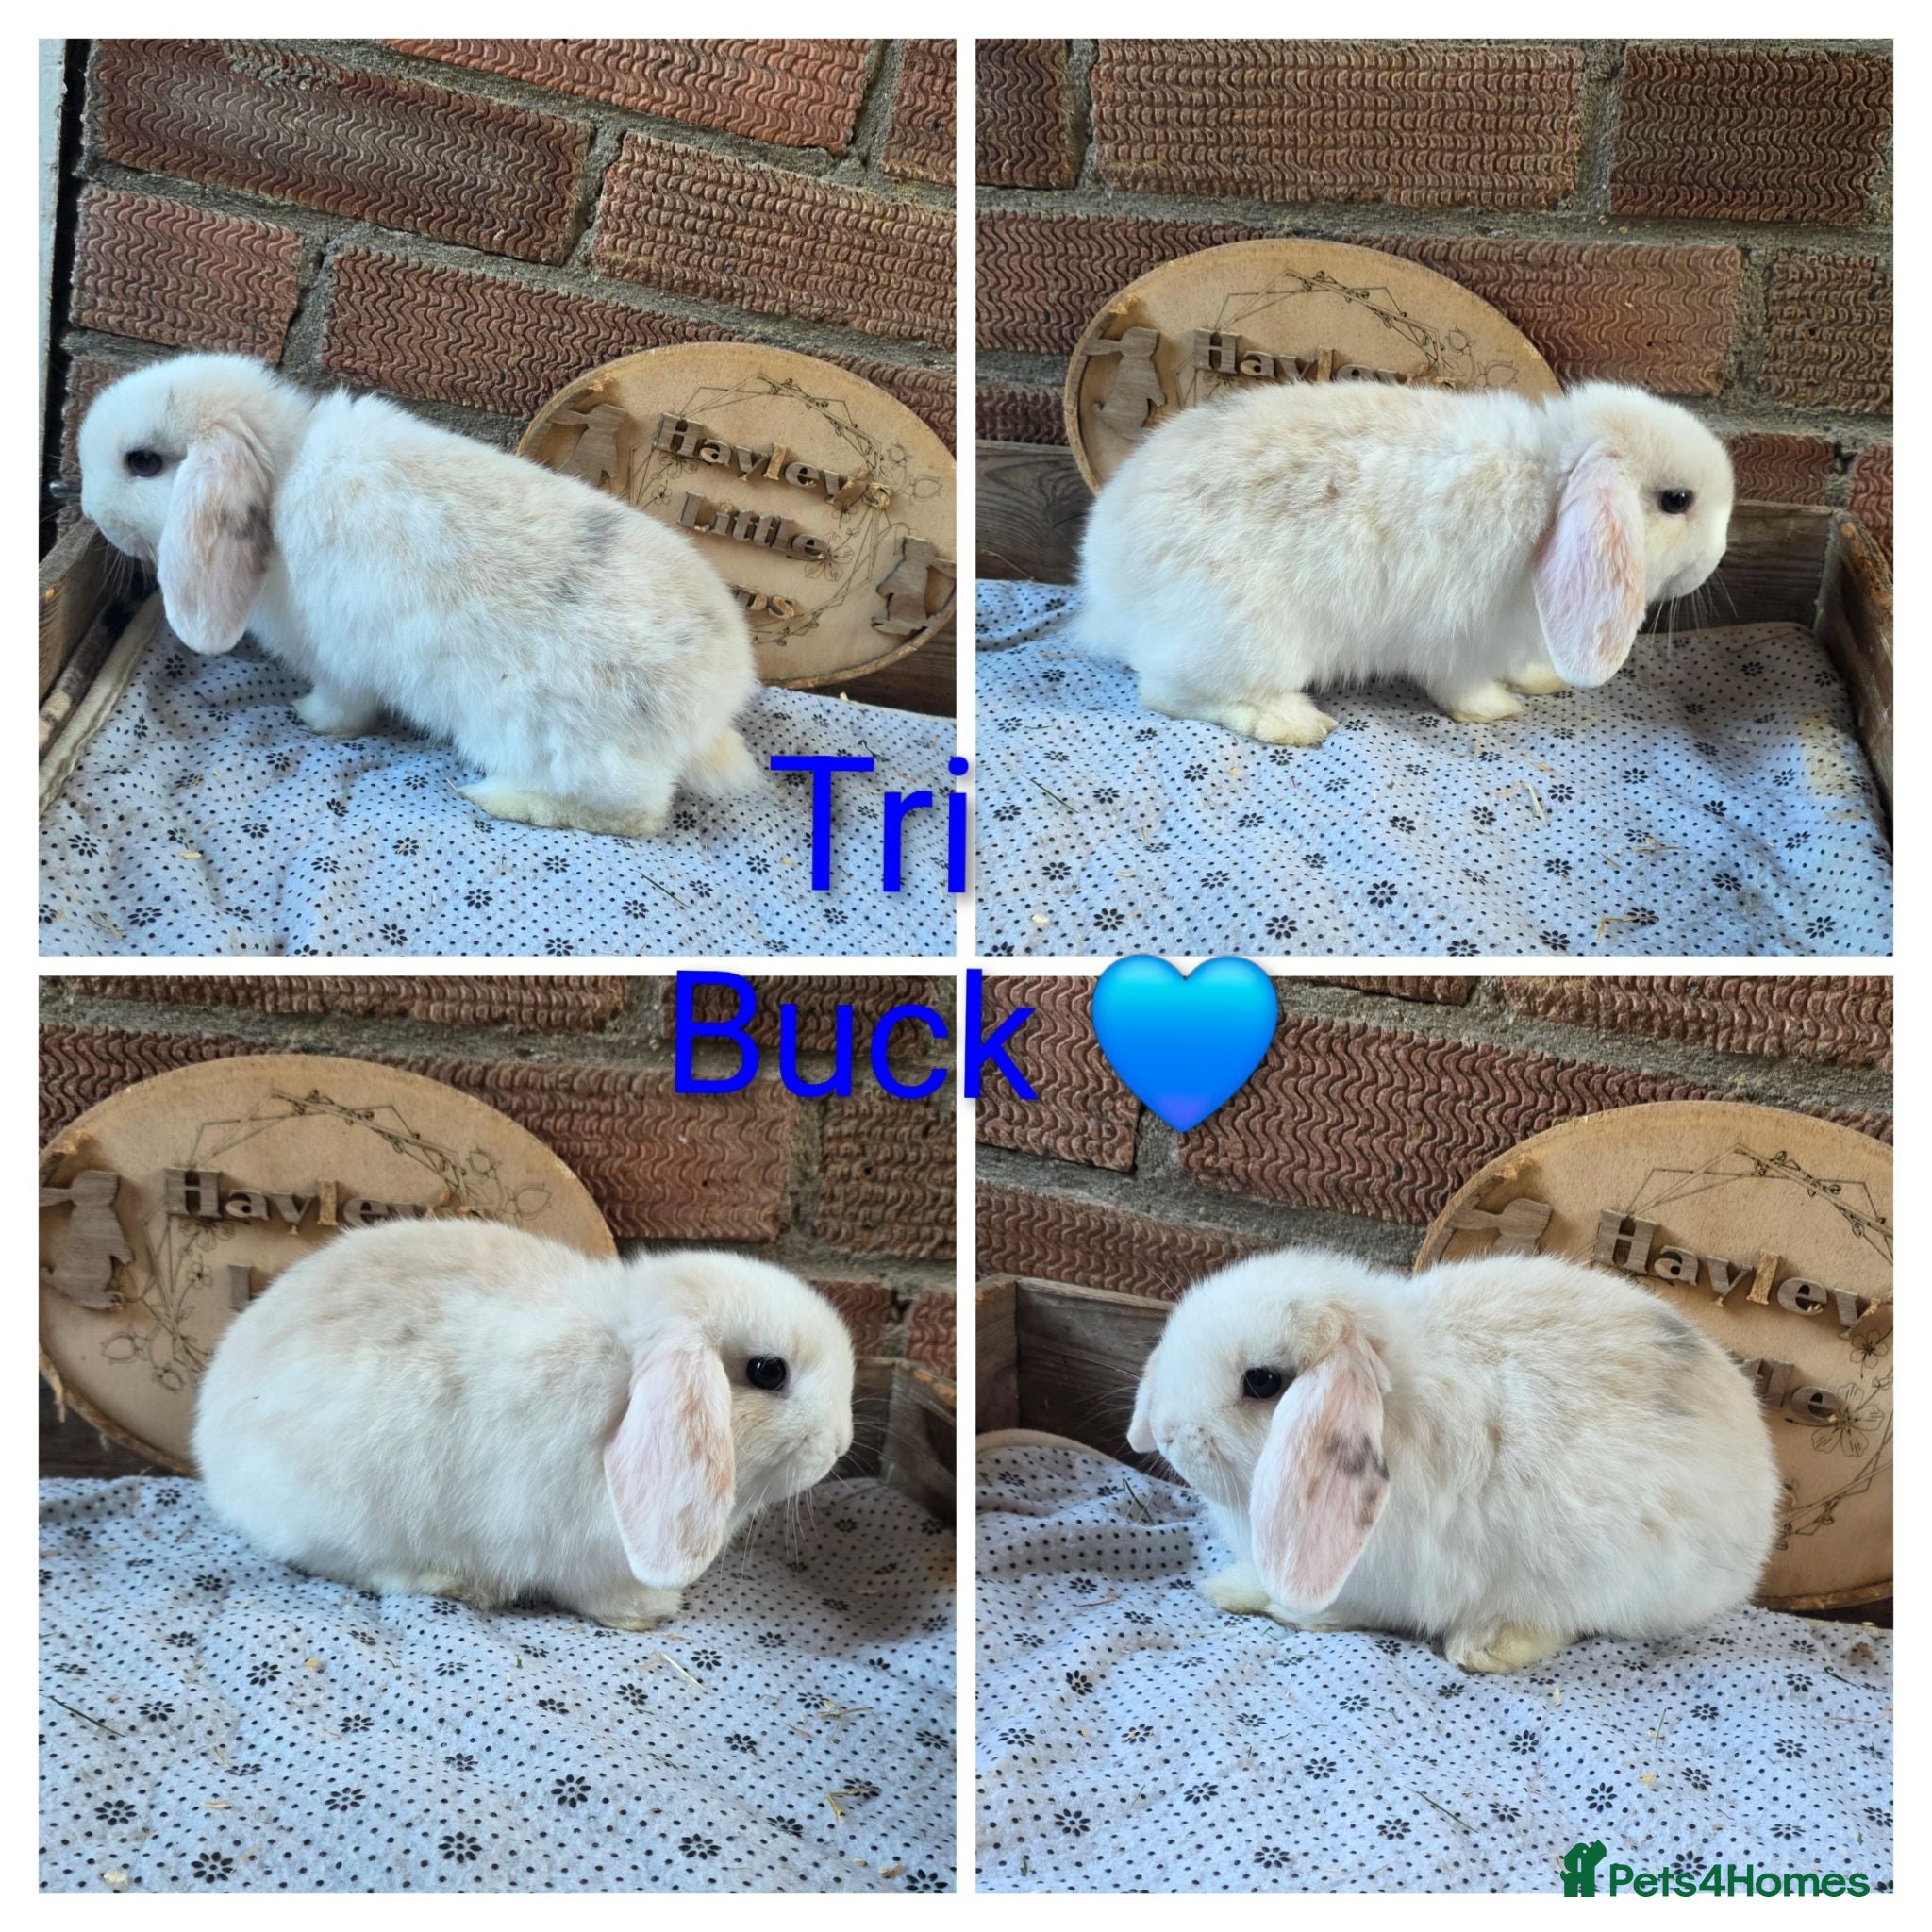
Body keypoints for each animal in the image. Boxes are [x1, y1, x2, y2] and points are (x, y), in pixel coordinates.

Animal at [78, 353, 761, 837]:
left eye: (143, 462)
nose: (88, 512)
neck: (281, 474)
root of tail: (717, 702)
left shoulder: (340, 659)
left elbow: (343, 707)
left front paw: (310, 718)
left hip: (555, 742)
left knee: (634, 814)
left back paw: (500, 797)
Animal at [192, 1220, 856, 1628]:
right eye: (768, 1371)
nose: (838, 1445)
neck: (623, 1366)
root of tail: (210, 1430)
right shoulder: (582, 1552)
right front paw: (653, 1607)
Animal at [1075, 378, 1735, 746]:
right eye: (1677, 500)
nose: (1717, 558)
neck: (1550, 490)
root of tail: (1106, 587)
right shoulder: (1460, 639)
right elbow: (1463, 688)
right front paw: (1498, 709)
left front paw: (1539, 678)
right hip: (1245, 641)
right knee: (1168, 693)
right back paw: (1294, 724)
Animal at [1127, 1247, 1778, 1672]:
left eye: (1262, 1381)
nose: (1166, 1433)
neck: (1397, 1404)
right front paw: (1227, 1585)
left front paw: (1266, 1604)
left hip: (1604, 1579)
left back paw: (1483, 1646)